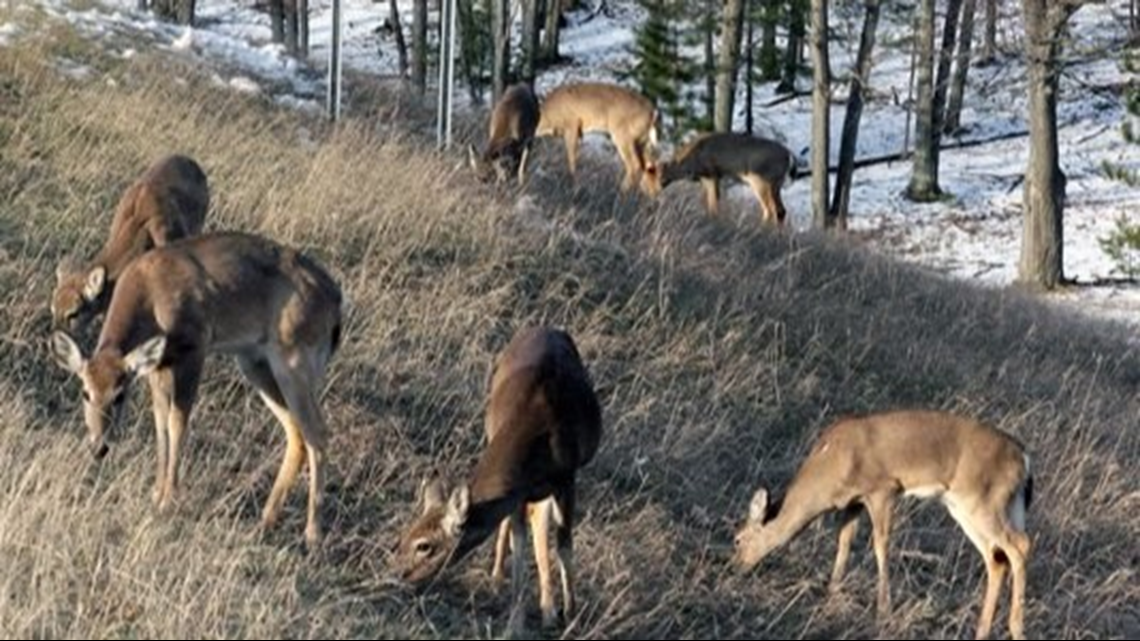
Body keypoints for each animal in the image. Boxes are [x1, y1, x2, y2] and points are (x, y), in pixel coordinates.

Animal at [49, 231, 342, 548]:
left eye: (119, 395)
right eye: (85, 392)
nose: (99, 446)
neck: (150, 294)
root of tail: (335, 301)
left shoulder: (194, 349)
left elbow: (177, 423)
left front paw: (168, 500)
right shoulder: (158, 366)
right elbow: (160, 425)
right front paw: (156, 493)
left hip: (294, 363)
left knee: (318, 433)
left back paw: (312, 533)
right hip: (256, 365)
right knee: (296, 433)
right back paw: (266, 519)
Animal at [392, 326, 603, 638]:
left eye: (425, 545)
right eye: (405, 534)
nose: (397, 573)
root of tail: (546, 328)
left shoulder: (566, 478)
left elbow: (565, 547)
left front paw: (571, 616)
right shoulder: (518, 492)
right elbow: (520, 548)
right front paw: (516, 623)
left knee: (542, 525)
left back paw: (549, 609)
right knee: (529, 524)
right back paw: (500, 579)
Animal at [642, 131, 797, 226]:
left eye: (652, 173)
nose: (650, 191)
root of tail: (788, 155)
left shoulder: (712, 174)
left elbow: (714, 202)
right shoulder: (705, 179)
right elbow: (708, 202)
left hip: (761, 180)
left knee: (770, 210)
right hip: (776, 184)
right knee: (781, 211)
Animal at [732, 409, 1033, 640]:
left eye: (738, 539)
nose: (735, 566)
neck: (829, 464)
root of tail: (1023, 458)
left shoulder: (882, 489)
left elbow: (880, 545)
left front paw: (883, 610)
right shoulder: (852, 503)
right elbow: (844, 543)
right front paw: (832, 591)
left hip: (982, 501)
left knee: (1020, 546)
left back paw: (1016, 628)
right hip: (973, 507)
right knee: (997, 558)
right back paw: (982, 630)